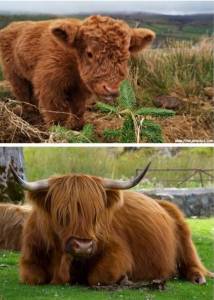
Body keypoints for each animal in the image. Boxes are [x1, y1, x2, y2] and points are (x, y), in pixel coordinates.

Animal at [0, 16, 155, 129]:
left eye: (126, 56)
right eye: (89, 53)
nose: (111, 89)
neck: (74, 64)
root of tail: (10, 26)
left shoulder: (80, 90)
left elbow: (78, 108)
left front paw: (77, 127)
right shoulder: (50, 85)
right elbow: (57, 112)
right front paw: (59, 130)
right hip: (14, 74)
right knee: (22, 94)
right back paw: (30, 117)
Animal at [9, 163, 212, 288]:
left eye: (96, 214)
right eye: (62, 214)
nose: (83, 246)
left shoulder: (118, 253)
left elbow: (98, 276)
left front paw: (123, 279)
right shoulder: (30, 256)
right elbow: (33, 277)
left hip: (183, 234)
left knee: (192, 261)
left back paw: (198, 278)